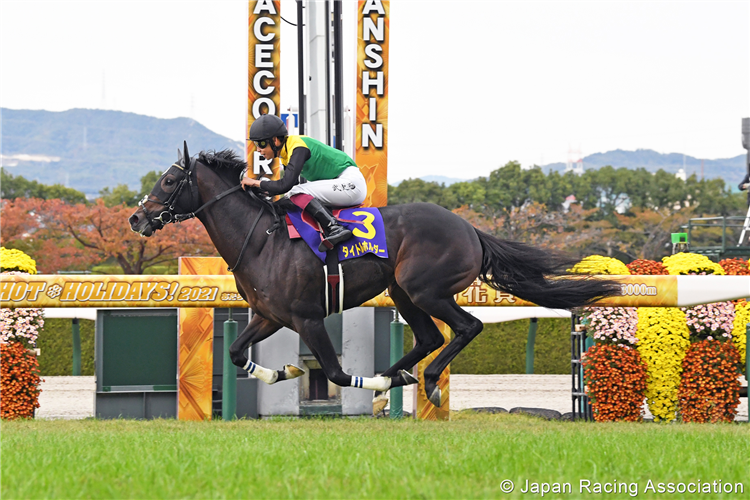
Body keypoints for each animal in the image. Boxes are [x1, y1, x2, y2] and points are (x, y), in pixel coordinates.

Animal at [131, 144, 624, 406]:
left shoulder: (308, 318)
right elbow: (235, 353)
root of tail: (469, 228)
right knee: (430, 337)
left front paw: (372, 383)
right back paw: (398, 379)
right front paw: (282, 371)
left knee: (466, 327)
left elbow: (335, 373)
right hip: (403, 291)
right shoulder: (270, 315)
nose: (138, 218)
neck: (262, 239)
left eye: (170, 181)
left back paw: (421, 382)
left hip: (426, 290)